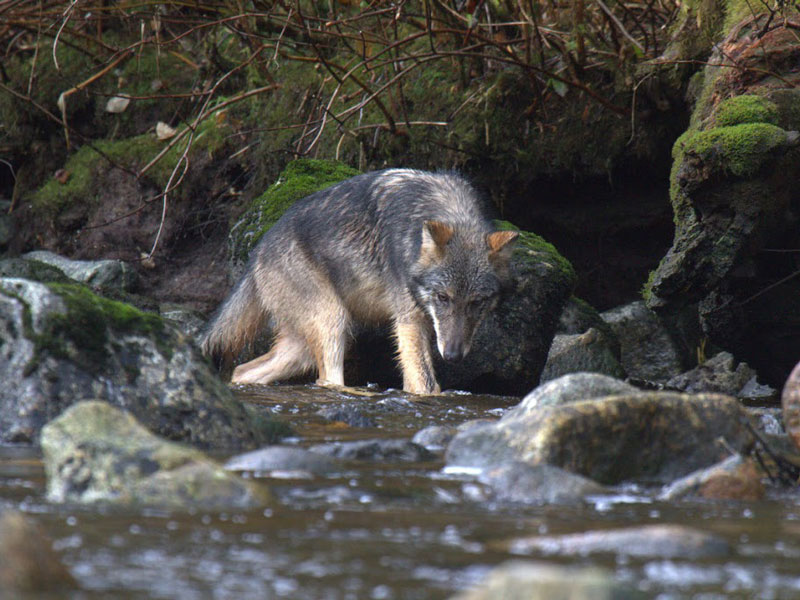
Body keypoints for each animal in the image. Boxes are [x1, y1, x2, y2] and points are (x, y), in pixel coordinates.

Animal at [200, 168, 520, 394]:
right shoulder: (408, 322)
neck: (446, 209)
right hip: (334, 322)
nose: (452, 356)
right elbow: (426, 386)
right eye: (443, 298)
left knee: (242, 371)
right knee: (327, 380)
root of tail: (257, 252)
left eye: (476, 303)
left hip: (301, 349)